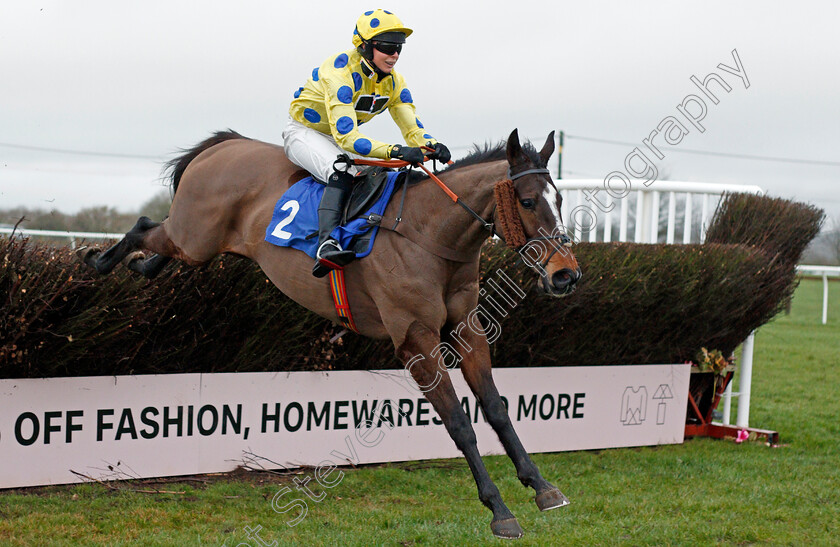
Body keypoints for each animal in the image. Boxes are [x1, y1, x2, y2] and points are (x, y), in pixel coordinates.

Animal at [79, 127, 580, 540]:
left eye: (559, 200)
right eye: (528, 201)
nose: (565, 275)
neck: (430, 234)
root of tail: (224, 145)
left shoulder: (466, 330)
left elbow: (496, 409)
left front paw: (542, 487)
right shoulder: (415, 340)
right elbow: (459, 422)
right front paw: (499, 511)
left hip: (197, 246)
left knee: (158, 245)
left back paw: (138, 265)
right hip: (194, 236)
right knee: (145, 227)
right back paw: (99, 259)